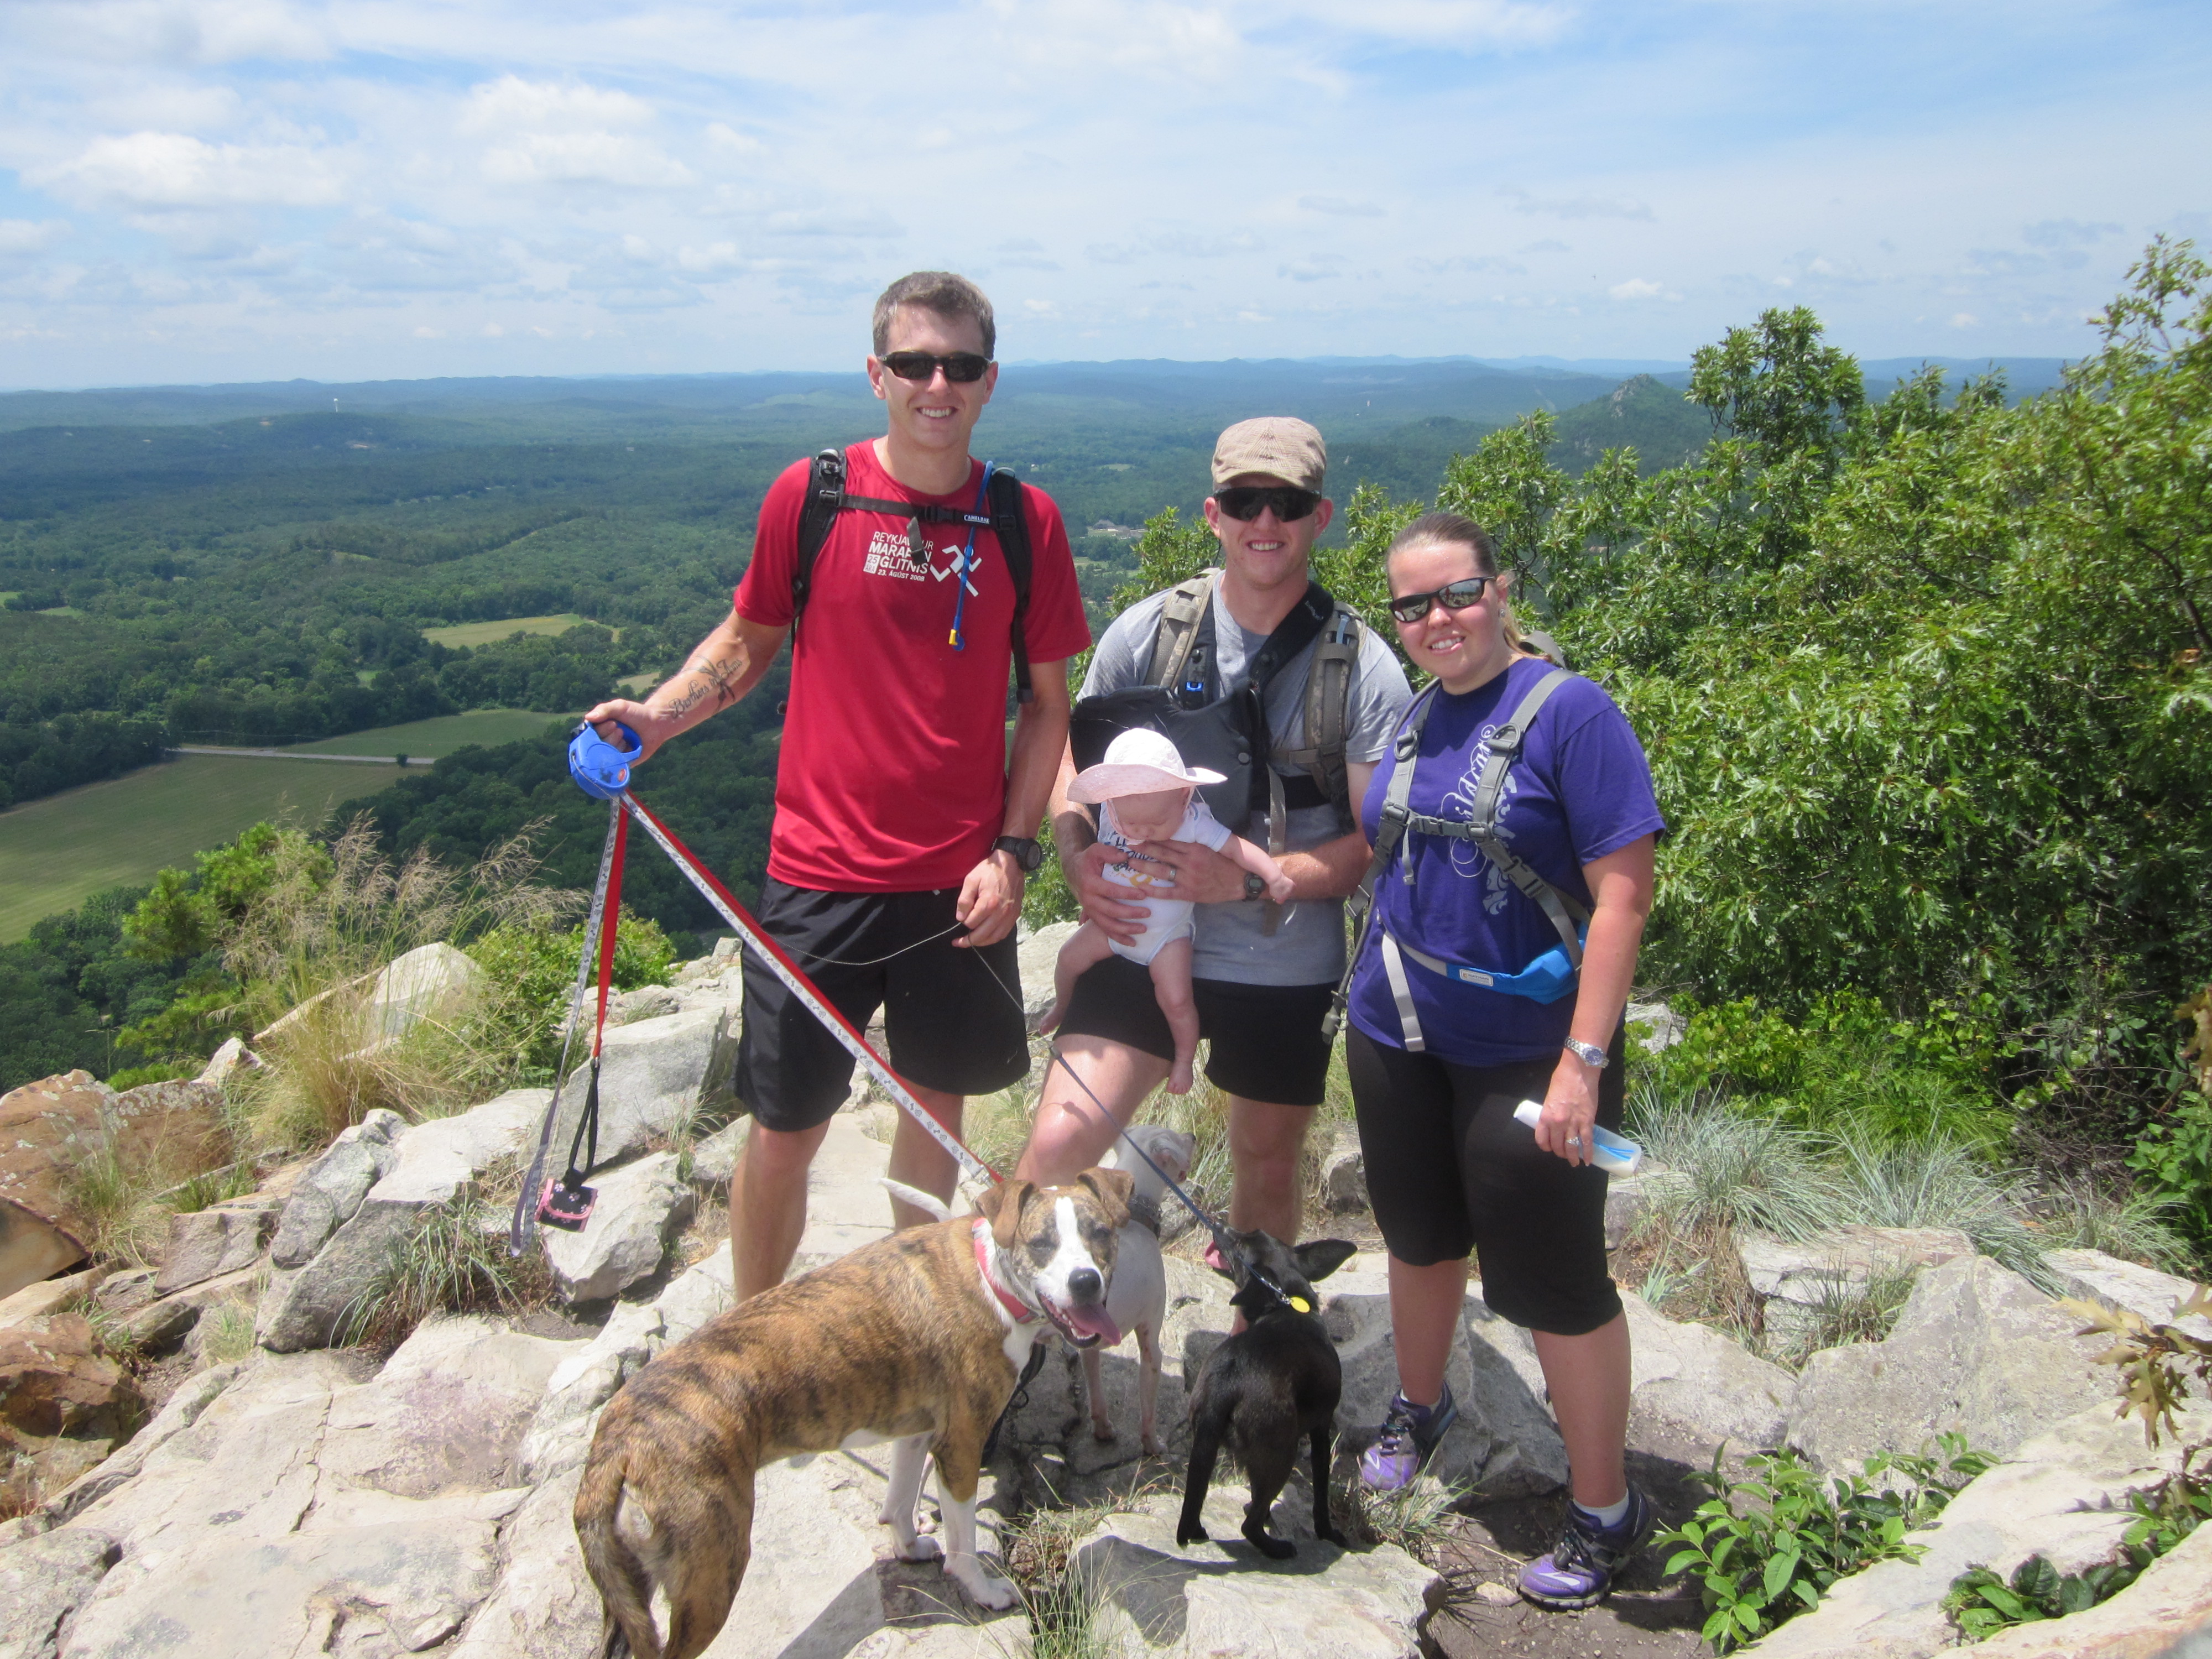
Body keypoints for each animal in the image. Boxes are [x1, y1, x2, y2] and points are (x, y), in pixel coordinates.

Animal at [1186, 1239, 1354, 1557]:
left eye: (1245, 1242)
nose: (1224, 1232)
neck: (1286, 1306)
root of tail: (1228, 1381)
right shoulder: (1321, 1430)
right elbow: (1321, 1493)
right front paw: (1328, 1533)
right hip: (1281, 1455)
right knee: (1248, 1527)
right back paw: (1277, 1549)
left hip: (1209, 1445)